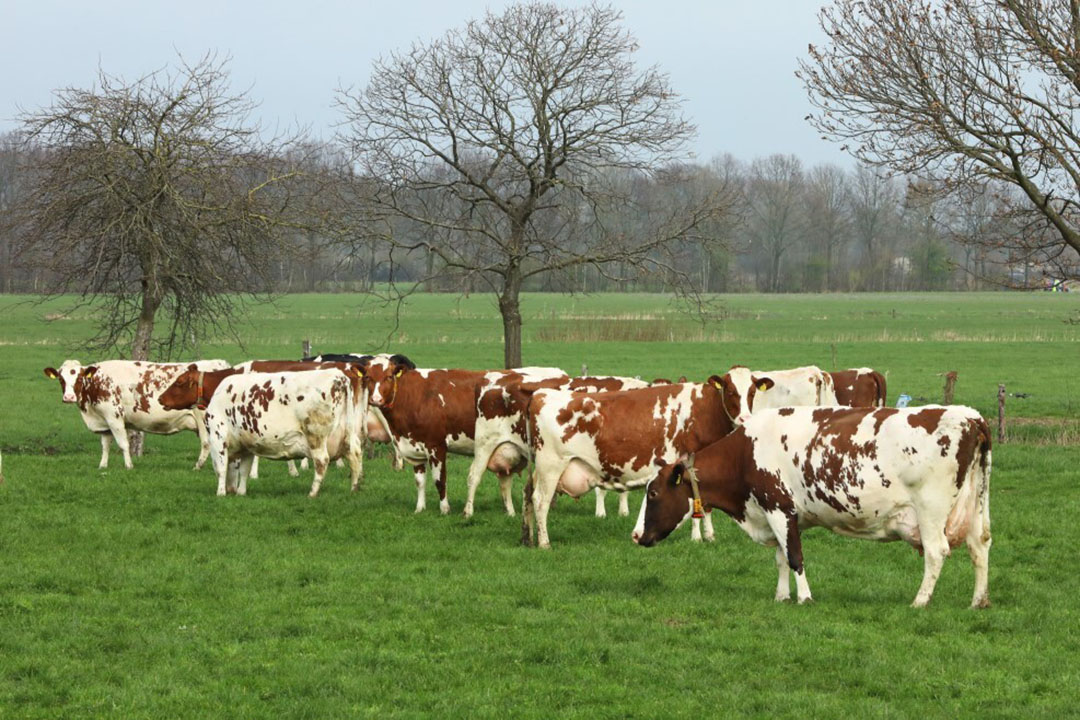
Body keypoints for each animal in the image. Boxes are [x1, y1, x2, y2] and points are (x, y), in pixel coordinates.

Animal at [43, 358, 230, 470]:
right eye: (61, 379)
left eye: (79, 378)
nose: (68, 397)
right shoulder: (104, 421)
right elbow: (105, 445)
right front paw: (103, 466)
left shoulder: (114, 417)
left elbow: (123, 444)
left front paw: (129, 466)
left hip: (204, 419)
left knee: (207, 443)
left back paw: (198, 467)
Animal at [196, 369, 360, 498]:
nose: (231, 490)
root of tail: (339, 376)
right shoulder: (247, 445)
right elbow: (244, 470)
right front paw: (241, 493)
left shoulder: (218, 437)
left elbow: (221, 467)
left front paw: (220, 493)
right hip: (348, 434)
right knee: (355, 455)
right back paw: (354, 488)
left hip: (316, 436)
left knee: (322, 461)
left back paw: (312, 493)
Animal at [360, 354, 565, 511]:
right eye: (368, 377)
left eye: (388, 376)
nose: (376, 399)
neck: (415, 395)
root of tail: (560, 374)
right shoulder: (414, 446)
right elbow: (420, 481)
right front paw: (419, 509)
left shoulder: (436, 445)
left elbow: (440, 480)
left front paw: (444, 509)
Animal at [516, 375, 760, 548]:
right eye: (731, 391)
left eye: (752, 392)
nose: (745, 419)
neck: (704, 409)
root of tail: (541, 394)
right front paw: (698, 537)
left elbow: (706, 505)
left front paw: (709, 536)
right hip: (551, 465)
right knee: (540, 501)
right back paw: (544, 543)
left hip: (539, 468)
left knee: (527, 494)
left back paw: (527, 538)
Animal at [630, 405, 993, 608]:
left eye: (653, 494)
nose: (635, 535)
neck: (745, 452)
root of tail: (970, 416)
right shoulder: (777, 514)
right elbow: (780, 556)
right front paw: (781, 596)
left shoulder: (778, 507)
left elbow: (794, 556)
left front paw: (804, 597)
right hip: (976, 505)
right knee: (979, 546)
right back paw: (978, 601)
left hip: (930, 509)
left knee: (936, 552)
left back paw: (920, 601)